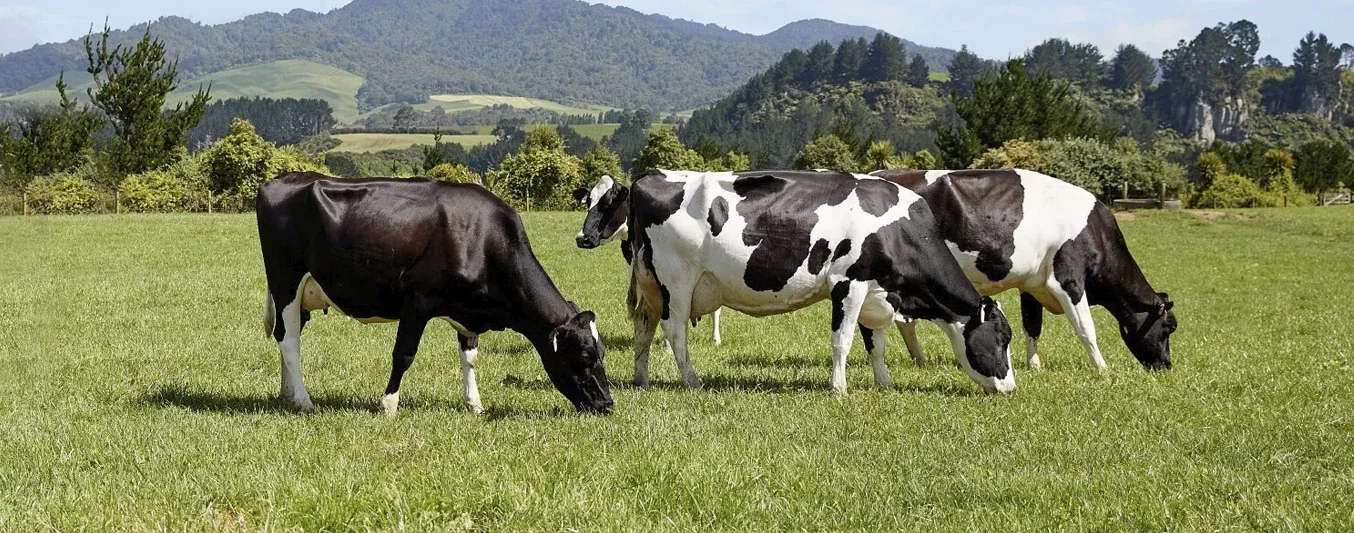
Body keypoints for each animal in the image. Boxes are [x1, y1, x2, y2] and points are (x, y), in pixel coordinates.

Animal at [257, 172, 614, 416]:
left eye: (602, 352)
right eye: (585, 356)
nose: (607, 404)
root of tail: (283, 179)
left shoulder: (469, 311)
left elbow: (470, 358)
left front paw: (475, 405)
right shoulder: (417, 300)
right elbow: (403, 354)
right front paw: (388, 404)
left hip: (300, 296)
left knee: (285, 337)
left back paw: (287, 394)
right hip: (286, 283)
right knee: (290, 342)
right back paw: (305, 401)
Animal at [573, 175, 723, 346]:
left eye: (609, 203)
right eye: (588, 203)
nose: (581, 238)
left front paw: (667, 344)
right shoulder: (635, 268)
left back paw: (715, 339)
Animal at [626, 169, 1015, 395]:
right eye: (1001, 339)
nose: (1011, 388)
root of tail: (649, 176)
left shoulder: (875, 290)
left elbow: (876, 344)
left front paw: (885, 382)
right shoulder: (849, 282)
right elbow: (843, 341)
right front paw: (839, 389)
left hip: (651, 284)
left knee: (644, 326)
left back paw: (641, 379)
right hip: (677, 278)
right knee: (675, 330)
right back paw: (692, 381)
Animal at [872, 169, 1177, 371]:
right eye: (1169, 327)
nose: (1166, 365)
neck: (1097, 233)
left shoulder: (1033, 284)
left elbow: (1032, 325)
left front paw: (1034, 364)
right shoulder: (1068, 280)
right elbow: (1086, 328)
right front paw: (1102, 369)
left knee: (903, 319)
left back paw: (919, 359)